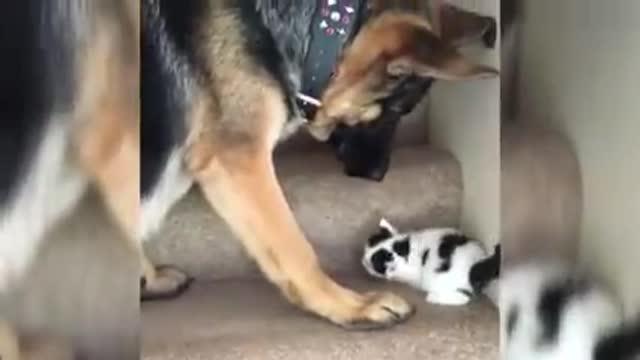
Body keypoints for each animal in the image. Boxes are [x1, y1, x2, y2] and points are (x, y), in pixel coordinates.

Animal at [362, 218, 498, 306]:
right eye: (370, 243)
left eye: (374, 262)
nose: (363, 261)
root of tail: (476, 265)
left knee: (464, 298)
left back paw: (433, 297)